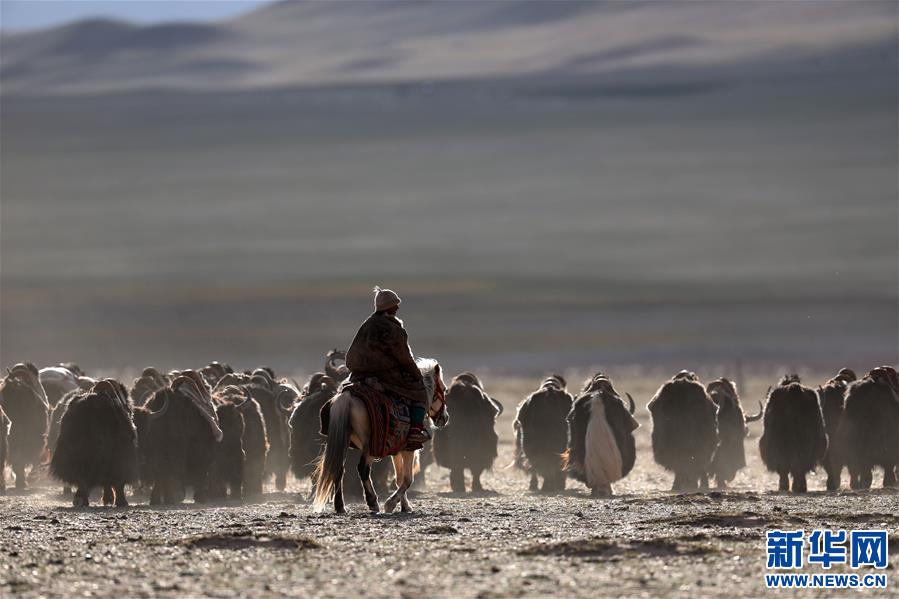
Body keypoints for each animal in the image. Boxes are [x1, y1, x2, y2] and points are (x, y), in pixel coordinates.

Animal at [312, 358, 450, 512]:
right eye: (444, 389)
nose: (444, 418)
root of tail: (347, 396)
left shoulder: (397, 450)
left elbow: (399, 479)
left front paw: (404, 506)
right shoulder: (409, 449)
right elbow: (408, 479)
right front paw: (391, 503)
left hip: (342, 440)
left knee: (338, 468)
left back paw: (340, 506)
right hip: (368, 445)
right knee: (363, 468)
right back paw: (372, 501)